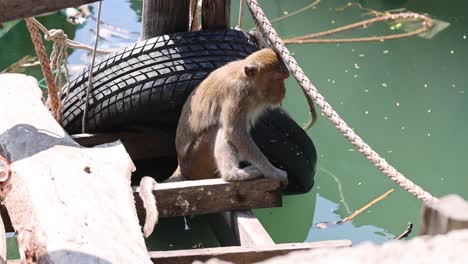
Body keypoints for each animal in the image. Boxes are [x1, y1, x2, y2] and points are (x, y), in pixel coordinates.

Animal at [139, 48, 290, 237]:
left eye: (284, 79)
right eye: (277, 79)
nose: (284, 91)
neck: (246, 79)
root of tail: (182, 167)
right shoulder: (236, 95)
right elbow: (235, 133)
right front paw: (273, 171)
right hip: (197, 159)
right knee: (221, 130)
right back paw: (234, 174)